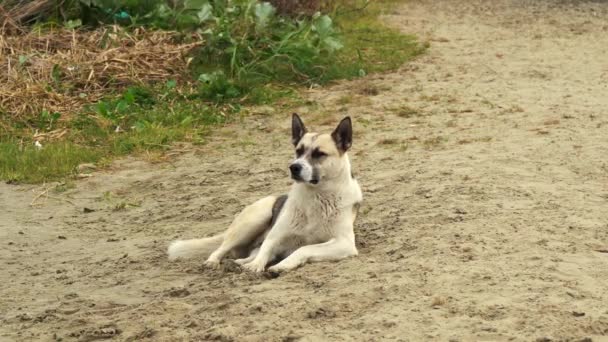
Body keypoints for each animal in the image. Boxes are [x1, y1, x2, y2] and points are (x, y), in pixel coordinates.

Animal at [167, 113, 360, 274]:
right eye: (298, 151)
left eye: (319, 154)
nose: (294, 167)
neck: (317, 196)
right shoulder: (276, 235)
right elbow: (267, 247)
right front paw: (255, 266)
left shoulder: (344, 243)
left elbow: (304, 248)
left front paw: (282, 265)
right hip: (254, 220)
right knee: (224, 248)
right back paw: (216, 262)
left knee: (250, 253)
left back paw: (239, 263)